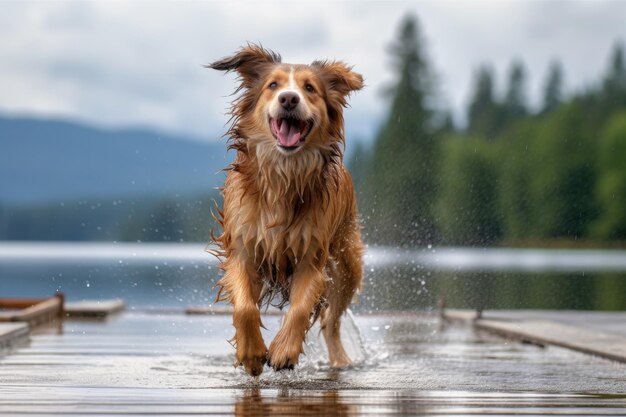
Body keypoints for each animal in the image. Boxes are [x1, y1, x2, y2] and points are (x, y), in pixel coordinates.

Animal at [208, 44, 364, 376]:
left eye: (310, 88)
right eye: (272, 85)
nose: (289, 99)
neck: (284, 173)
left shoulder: (312, 255)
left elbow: (302, 307)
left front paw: (283, 351)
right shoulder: (243, 246)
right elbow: (245, 306)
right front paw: (252, 353)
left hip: (348, 266)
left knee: (331, 321)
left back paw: (340, 360)